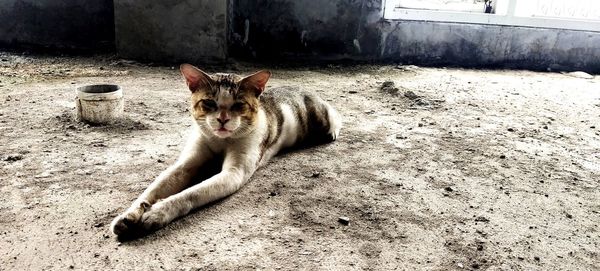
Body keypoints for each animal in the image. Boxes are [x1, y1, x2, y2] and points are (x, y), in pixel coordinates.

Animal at [109, 63, 340, 238]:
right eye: (209, 103)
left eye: (238, 105)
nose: (222, 119)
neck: (220, 140)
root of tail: (301, 87)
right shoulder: (184, 165)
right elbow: (152, 190)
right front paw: (129, 215)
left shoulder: (233, 173)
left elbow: (191, 193)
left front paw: (157, 212)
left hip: (321, 117)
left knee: (335, 114)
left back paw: (333, 132)